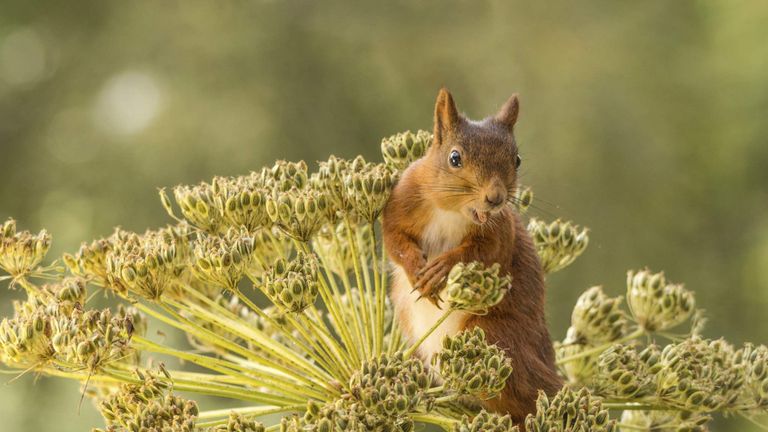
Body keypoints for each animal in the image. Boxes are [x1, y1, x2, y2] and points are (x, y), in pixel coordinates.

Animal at [382, 88, 560, 422]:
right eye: (455, 158)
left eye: (516, 160)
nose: (495, 198)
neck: (452, 211)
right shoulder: (402, 200)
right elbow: (395, 240)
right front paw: (416, 269)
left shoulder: (500, 231)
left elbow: (484, 253)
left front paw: (441, 268)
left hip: (492, 337)